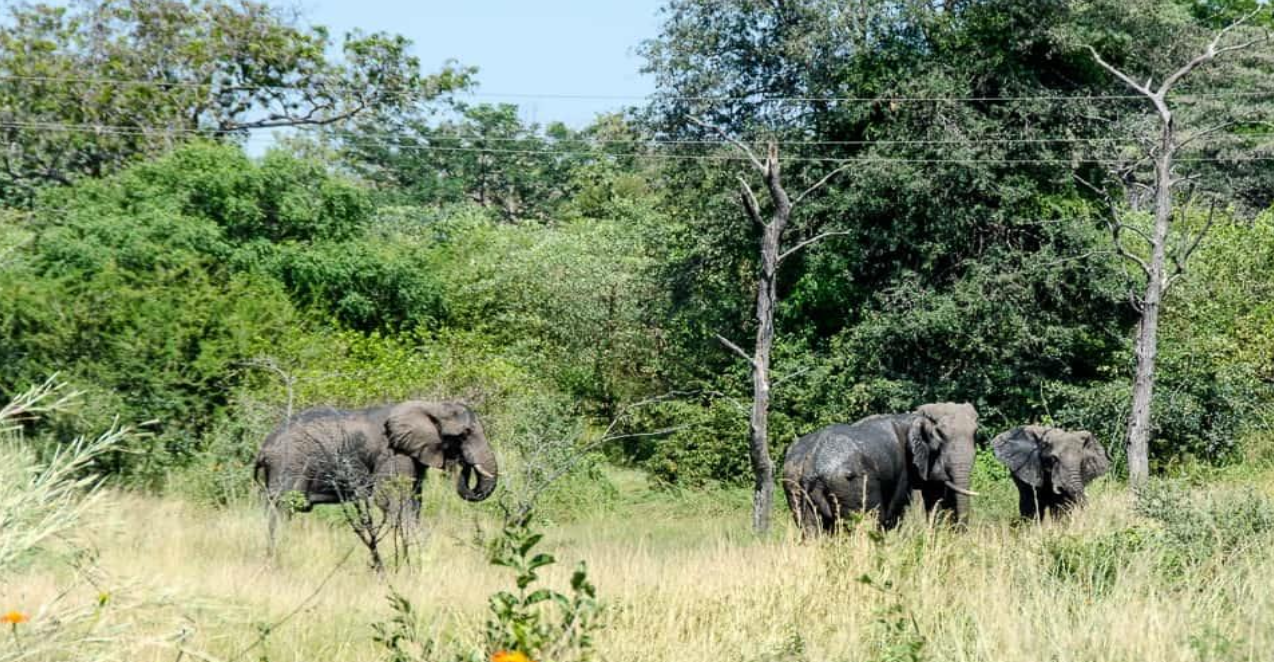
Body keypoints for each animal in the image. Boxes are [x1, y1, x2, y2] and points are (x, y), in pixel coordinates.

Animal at [253, 400, 498, 546]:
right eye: (464, 434)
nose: (465, 464)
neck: (432, 406)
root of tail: (263, 448)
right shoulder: (392, 453)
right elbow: (391, 498)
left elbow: (415, 499)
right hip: (290, 464)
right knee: (283, 508)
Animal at [782, 402, 980, 536]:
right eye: (940, 437)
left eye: (975, 433)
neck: (911, 417)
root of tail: (811, 465)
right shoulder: (904, 467)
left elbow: (934, 500)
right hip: (852, 484)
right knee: (866, 523)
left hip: (794, 485)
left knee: (811, 530)